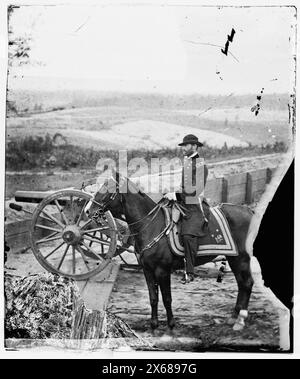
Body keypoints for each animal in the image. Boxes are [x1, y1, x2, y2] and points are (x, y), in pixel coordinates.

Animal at [86, 174, 253, 334]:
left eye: (107, 189)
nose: (88, 210)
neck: (151, 225)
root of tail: (250, 212)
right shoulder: (147, 270)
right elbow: (153, 297)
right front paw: (154, 325)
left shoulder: (162, 271)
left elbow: (167, 298)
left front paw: (170, 325)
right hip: (234, 258)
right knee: (242, 284)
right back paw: (234, 317)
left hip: (241, 259)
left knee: (247, 283)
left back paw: (240, 320)